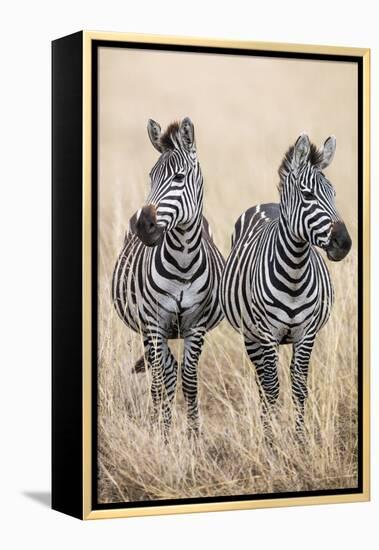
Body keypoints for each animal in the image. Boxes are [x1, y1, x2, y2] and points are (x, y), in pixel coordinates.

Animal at [113, 118, 226, 438]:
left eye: (179, 177)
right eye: (151, 177)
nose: (143, 225)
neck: (183, 262)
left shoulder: (196, 326)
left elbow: (189, 379)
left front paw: (194, 435)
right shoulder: (154, 323)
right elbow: (162, 378)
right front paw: (162, 434)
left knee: (172, 370)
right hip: (147, 330)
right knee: (159, 373)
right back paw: (156, 422)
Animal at [220, 134, 354, 436]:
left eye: (334, 193)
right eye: (308, 195)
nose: (344, 243)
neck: (294, 271)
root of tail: (267, 204)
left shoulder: (307, 334)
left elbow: (299, 388)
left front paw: (300, 438)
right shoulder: (267, 333)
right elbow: (271, 390)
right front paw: (271, 442)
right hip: (251, 336)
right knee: (262, 382)